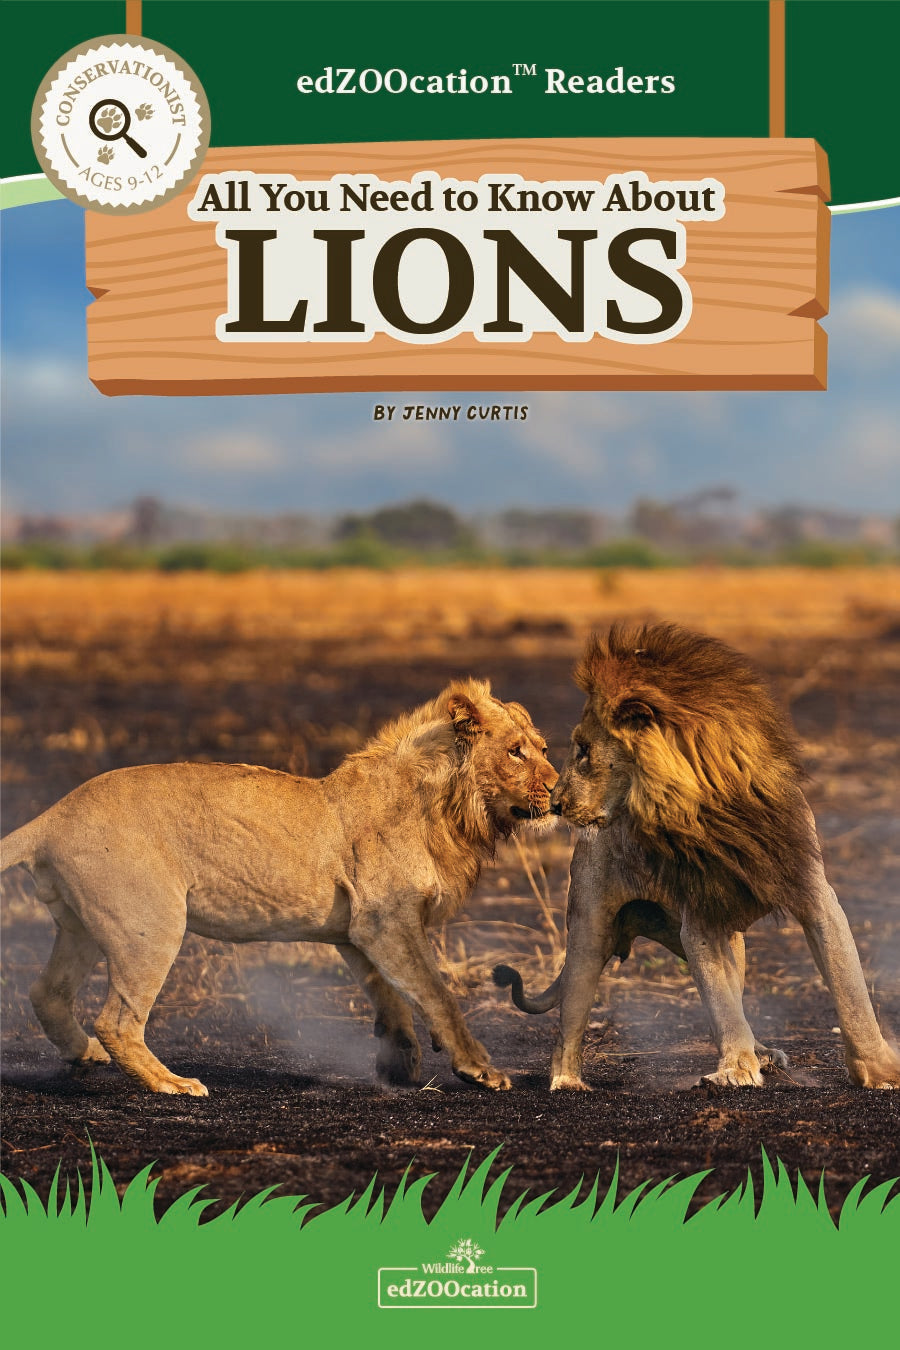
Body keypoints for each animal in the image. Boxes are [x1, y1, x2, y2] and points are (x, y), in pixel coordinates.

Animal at [1, 679, 557, 1096]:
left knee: (46, 992)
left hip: (81, 927)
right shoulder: (388, 921)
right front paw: (481, 1070)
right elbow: (436, 994)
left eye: (545, 748)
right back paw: (172, 1083)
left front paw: (399, 1064)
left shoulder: (359, 931)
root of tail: (51, 816)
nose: (556, 788)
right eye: (515, 752)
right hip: (150, 926)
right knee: (117, 1021)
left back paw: (85, 1056)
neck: (447, 809)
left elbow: (390, 996)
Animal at [495, 622, 900, 1092]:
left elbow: (851, 992)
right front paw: (735, 1070)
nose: (555, 804)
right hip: (589, 930)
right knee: (569, 1022)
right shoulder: (700, 919)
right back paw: (567, 1081)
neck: (711, 807)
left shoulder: (813, 894)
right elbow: (722, 1005)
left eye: (583, 750)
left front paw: (879, 1070)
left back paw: (765, 1054)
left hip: (736, 943)